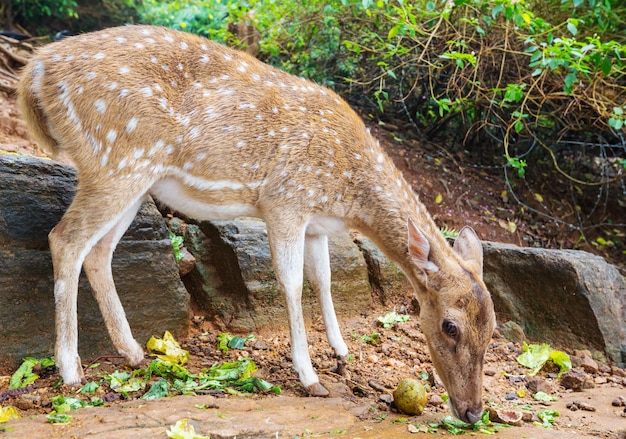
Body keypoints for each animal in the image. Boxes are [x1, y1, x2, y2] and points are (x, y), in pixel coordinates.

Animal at [18, 25, 492, 424]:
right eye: (449, 325)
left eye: (492, 327)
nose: (472, 412)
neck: (348, 195)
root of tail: (35, 69)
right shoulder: (285, 200)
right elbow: (292, 283)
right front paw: (309, 377)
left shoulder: (316, 224)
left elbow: (324, 280)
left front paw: (341, 353)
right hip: (116, 158)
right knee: (65, 239)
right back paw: (71, 369)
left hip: (133, 177)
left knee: (98, 251)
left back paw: (133, 352)